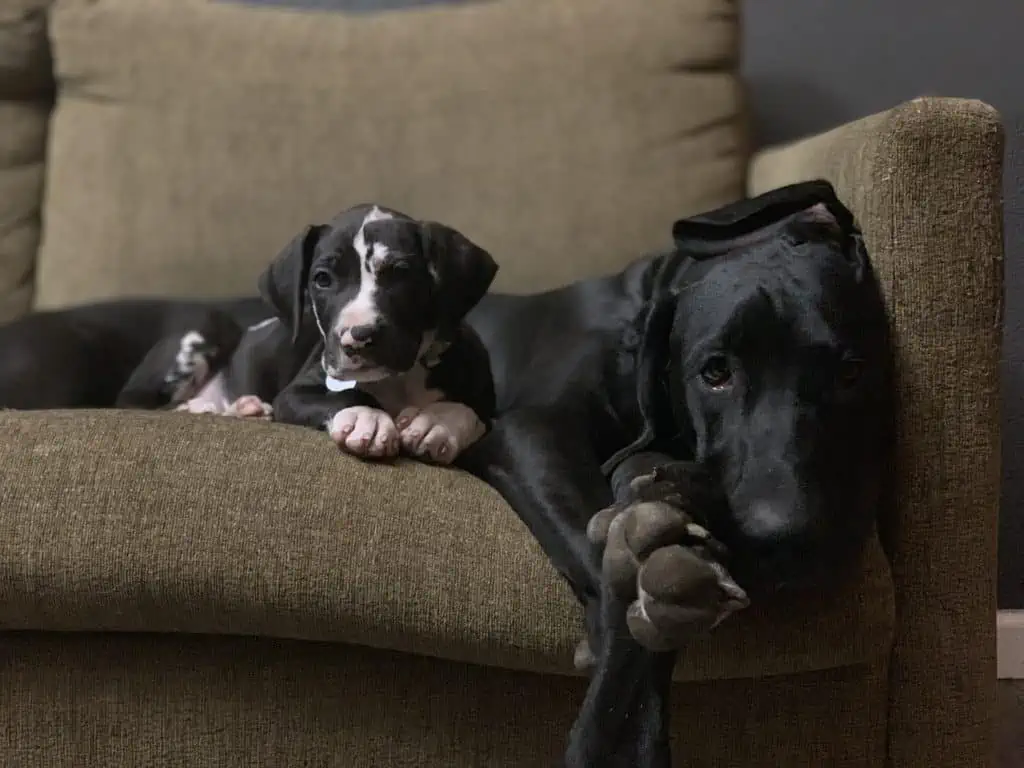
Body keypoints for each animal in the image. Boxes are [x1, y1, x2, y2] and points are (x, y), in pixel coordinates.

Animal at [270, 202, 497, 462]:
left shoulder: (488, 408)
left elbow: (467, 408)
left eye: (401, 273)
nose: (357, 338)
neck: (398, 379)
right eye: (322, 279)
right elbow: (343, 394)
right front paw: (366, 416)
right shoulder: (291, 395)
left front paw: (435, 422)